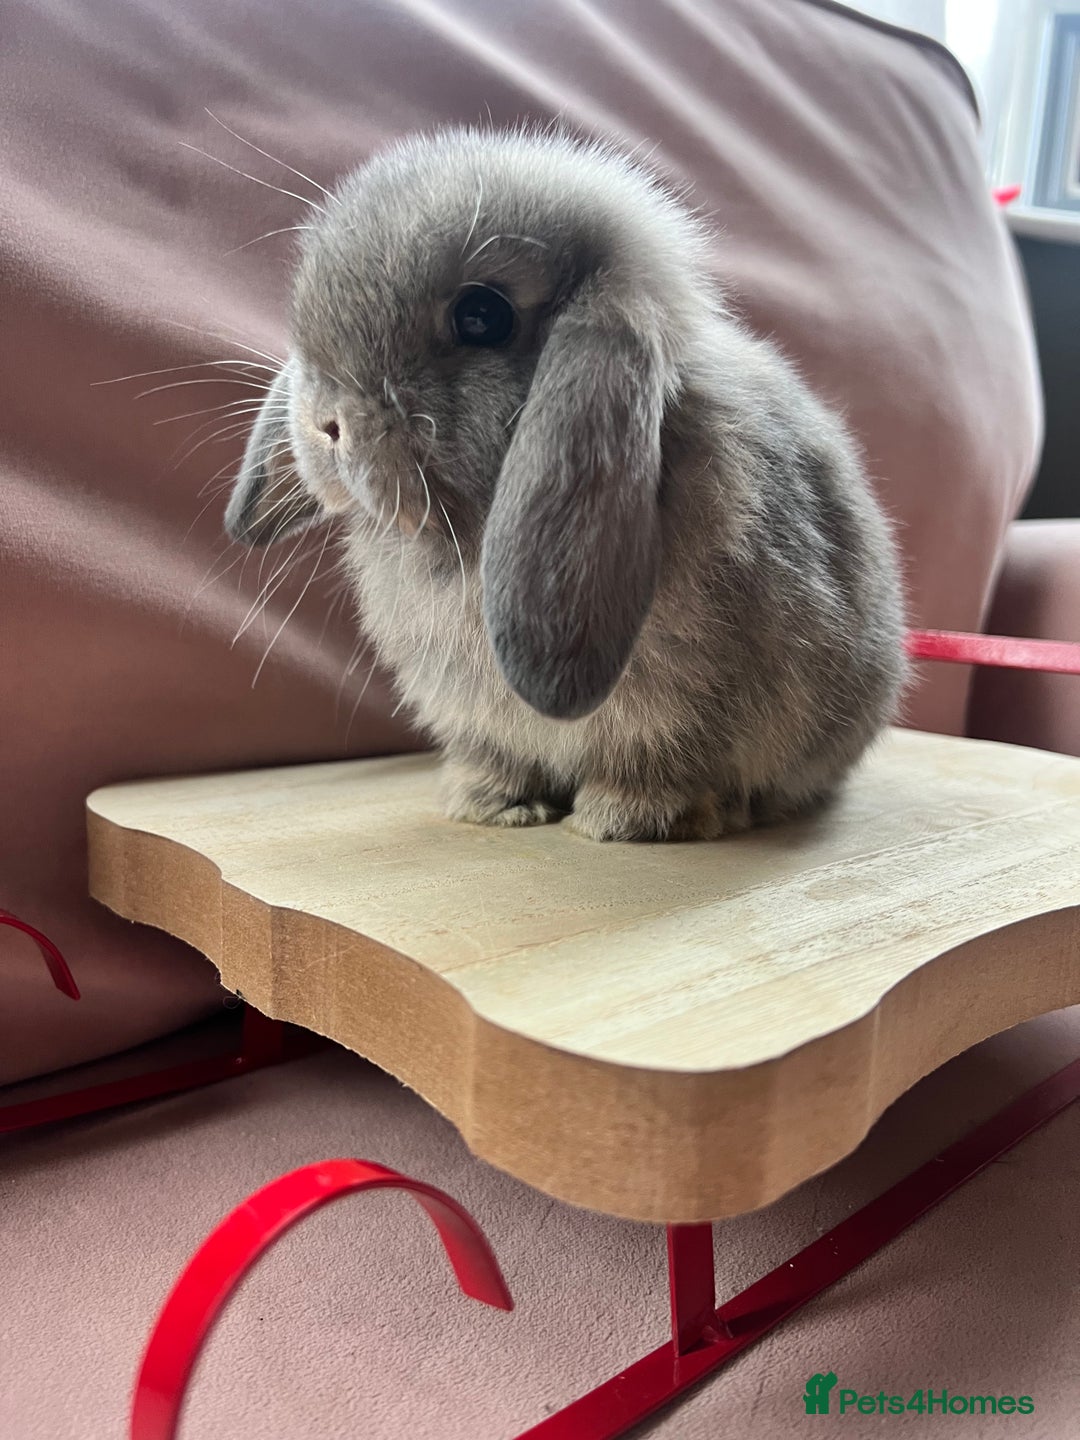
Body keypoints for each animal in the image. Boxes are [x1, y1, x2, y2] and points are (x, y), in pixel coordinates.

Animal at [225, 125, 907, 842]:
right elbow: (497, 757)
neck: (467, 538)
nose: (324, 420)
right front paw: (488, 805)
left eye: (482, 316)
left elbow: (667, 761)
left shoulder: (687, 707)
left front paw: (624, 818)